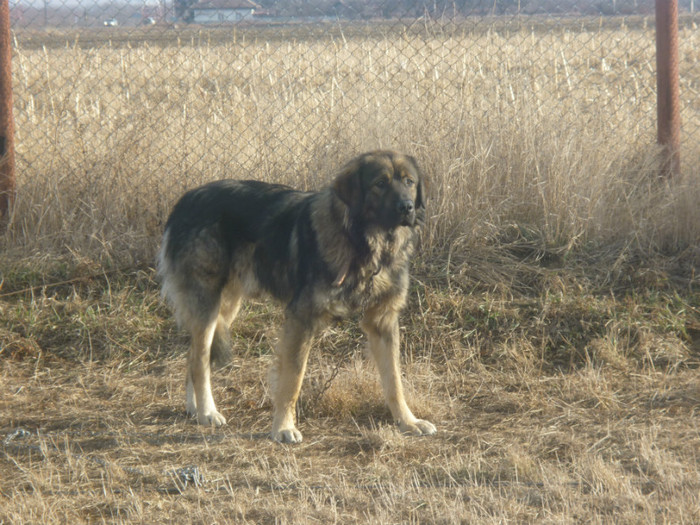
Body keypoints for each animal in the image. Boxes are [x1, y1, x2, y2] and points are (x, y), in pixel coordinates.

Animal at [157, 149, 438, 440]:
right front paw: (283, 426)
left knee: (192, 355)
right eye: (380, 183)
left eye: (409, 182)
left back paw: (194, 407)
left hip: (227, 305)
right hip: (208, 303)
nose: (406, 207)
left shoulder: (383, 321)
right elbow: (293, 378)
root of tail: (185, 200)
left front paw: (408, 421)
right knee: (200, 360)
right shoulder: (301, 318)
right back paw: (207, 412)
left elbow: (394, 380)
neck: (367, 243)